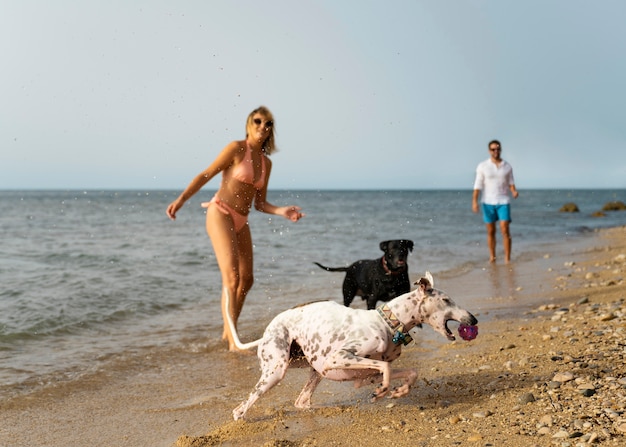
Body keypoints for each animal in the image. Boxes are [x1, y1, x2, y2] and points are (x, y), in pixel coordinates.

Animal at [227, 272, 476, 422]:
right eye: (446, 300)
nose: (473, 319)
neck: (388, 323)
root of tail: (265, 334)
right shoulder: (338, 357)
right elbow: (385, 367)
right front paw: (383, 391)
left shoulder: (364, 376)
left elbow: (409, 371)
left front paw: (399, 390)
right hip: (277, 371)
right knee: (239, 410)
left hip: (315, 371)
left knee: (302, 402)